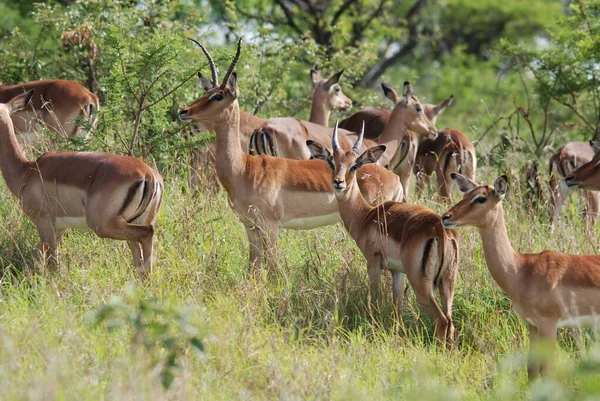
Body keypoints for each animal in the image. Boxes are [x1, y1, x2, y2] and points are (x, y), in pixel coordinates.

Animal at [0, 90, 163, 278]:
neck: (26, 171)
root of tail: (149, 175)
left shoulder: (44, 221)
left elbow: (52, 263)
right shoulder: (60, 228)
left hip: (105, 226)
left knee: (147, 233)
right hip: (133, 222)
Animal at [178, 40, 404, 270]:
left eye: (218, 95)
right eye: (206, 92)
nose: (184, 111)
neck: (243, 168)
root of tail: (394, 178)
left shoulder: (270, 226)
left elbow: (272, 267)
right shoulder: (250, 227)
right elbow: (253, 268)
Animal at [310, 120, 460, 342]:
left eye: (354, 165)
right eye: (332, 162)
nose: (338, 183)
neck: (366, 216)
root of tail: (440, 231)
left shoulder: (373, 262)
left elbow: (375, 297)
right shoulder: (398, 271)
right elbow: (397, 305)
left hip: (421, 284)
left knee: (442, 321)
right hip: (447, 283)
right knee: (450, 321)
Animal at [440, 173, 600, 378]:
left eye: (481, 198)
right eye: (465, 194)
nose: (446, 217)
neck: (521, 269)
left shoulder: (549, 323)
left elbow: (547, 372)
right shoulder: (532, 325)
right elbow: (532, 370)